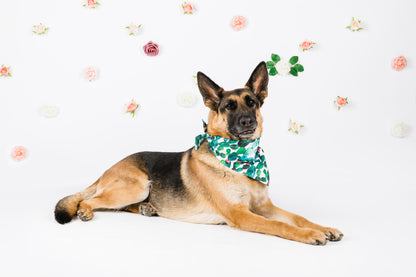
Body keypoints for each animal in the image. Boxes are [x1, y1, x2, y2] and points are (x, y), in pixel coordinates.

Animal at [55, 62, 342, 244]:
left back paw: (148, 208)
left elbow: (298, 217)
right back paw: (86, 211)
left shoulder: (264, 207)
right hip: (137, 185)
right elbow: (280, 225)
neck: (240, 160)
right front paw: (309, 235)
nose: (248, 122)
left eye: (252, 103)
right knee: (87, 201)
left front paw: (324, 228)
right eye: (229, 107)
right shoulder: (240, 214)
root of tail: (108, 169)